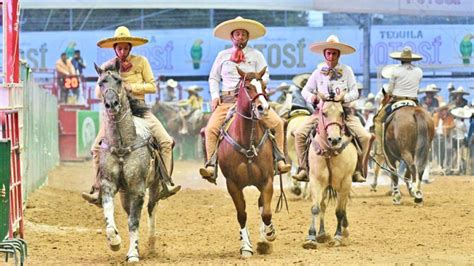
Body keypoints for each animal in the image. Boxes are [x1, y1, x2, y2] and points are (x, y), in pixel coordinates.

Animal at [94, 61, 167, 262]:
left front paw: (133, 253)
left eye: (119, 81)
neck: (122, 145)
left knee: (151, 209)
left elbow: (134, 221)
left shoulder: (138, 188)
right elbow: (109, 217)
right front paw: (115, 242)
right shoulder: (109, 185)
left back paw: (151, 244)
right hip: (125, 193)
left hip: (154, 186)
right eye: (101, 83)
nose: (111, 104)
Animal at [218, 66, 278, 258]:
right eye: (248, 87)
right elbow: (241, 214)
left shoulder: (267, 180)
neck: (247, 140)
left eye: (264, 86)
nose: (263, 108)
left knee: (262, 205)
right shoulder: (233, 184)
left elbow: (266, 212)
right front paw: (245, 247)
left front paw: (269, 233)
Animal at [302, 92, 358, 249]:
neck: (329, 152)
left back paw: (344, 230)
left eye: (341, 113)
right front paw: (311, 237)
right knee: (323, 205)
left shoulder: (345, 182)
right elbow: (315, 207)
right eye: (324, 113)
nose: (334, 139)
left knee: (342, 206)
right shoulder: (315, 180)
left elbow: (339, 210)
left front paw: (338, 236)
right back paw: (321, 234)